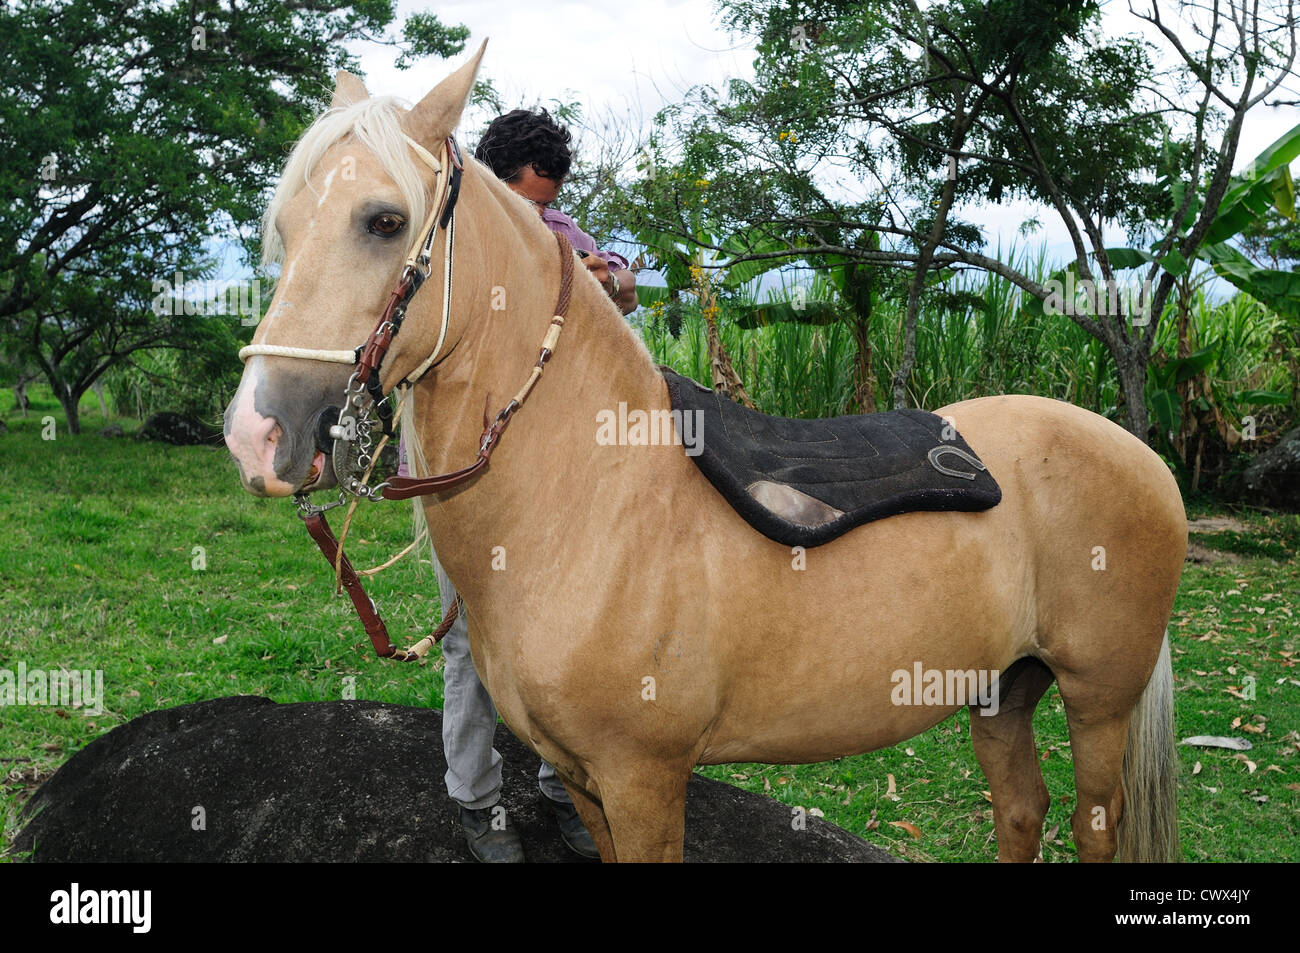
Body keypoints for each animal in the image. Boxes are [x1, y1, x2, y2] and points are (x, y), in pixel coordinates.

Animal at [224, 44, 1186, 862]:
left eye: (385, 221)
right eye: (286, 225)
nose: (256, 434)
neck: (588, 500)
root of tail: (1138, 454)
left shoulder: (644, 777)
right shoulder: (585, 781)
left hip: (1098, 699)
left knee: (1090, 825)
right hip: (1003, 687)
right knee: (1021, 810)